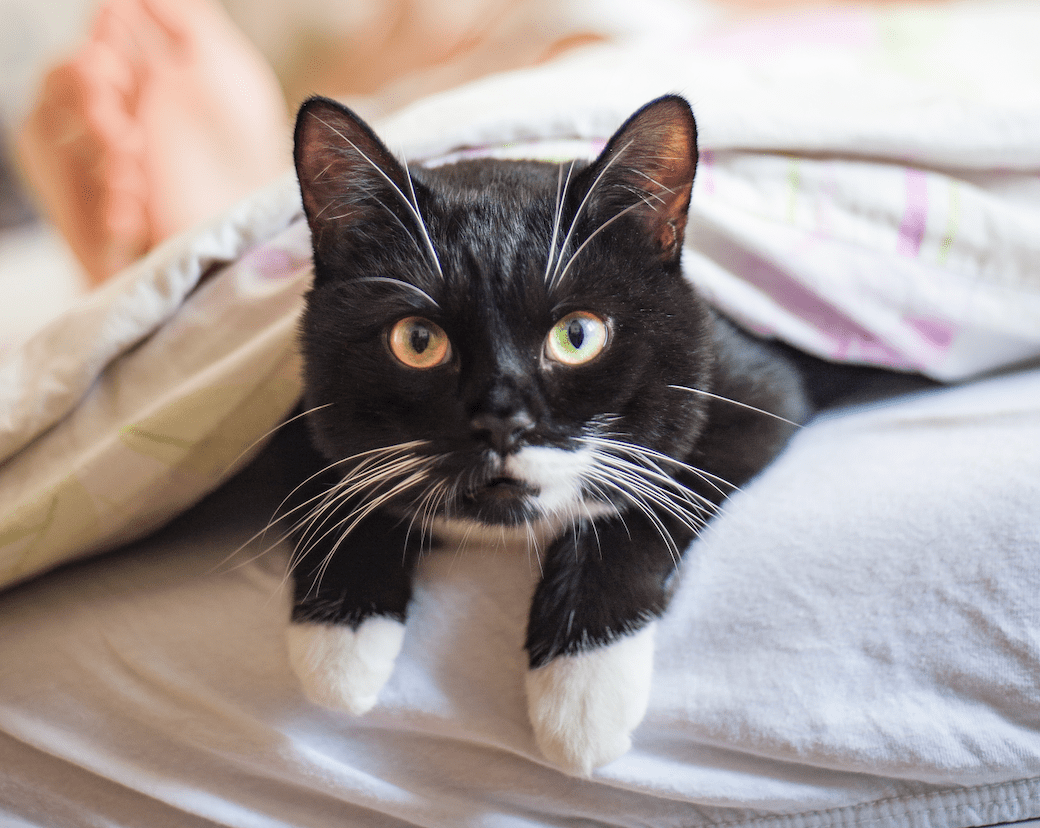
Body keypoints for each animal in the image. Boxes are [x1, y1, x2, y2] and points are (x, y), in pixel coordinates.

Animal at [280, 93, 873, 773]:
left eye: (578, 335)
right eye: (418, 340)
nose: (502, 419)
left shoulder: (754, 390)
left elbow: (641, 503)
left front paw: (581, 686)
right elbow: (322, 476)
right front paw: (339, 641)